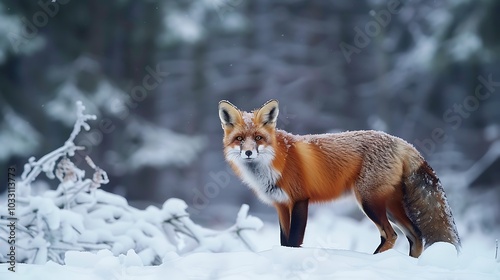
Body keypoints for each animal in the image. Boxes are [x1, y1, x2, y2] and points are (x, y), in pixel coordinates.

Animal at [219, 99, 460, 258]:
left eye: (258, 138)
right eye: (239, 139)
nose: (248, 152)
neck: (276, 163)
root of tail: (401, 141)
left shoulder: (300, 200)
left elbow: (294, 241)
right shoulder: (281, 205)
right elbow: (284, 242)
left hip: (370, 202)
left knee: (391, 235)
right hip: (390, 205)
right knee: (416, 236)